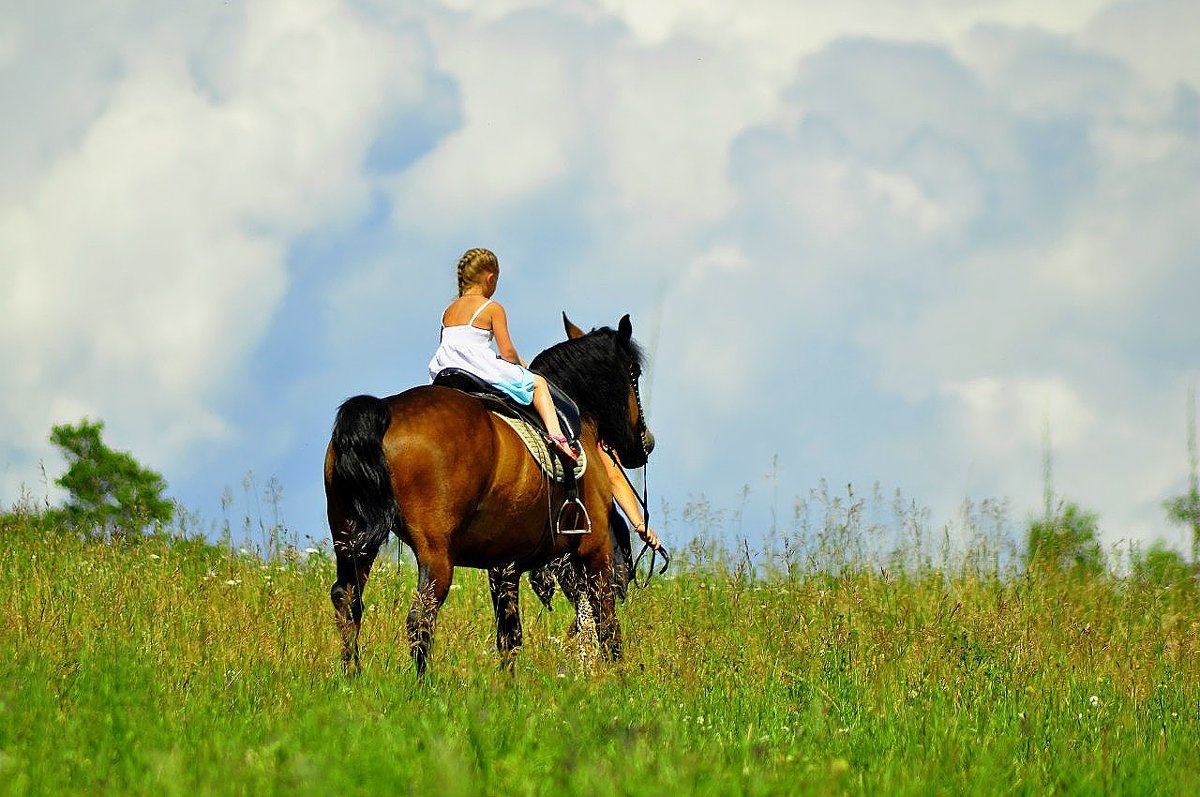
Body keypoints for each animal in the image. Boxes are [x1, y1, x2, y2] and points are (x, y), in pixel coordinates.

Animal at [324, 312, 652, 672]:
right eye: (634, 373)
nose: (644, 444)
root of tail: (383, 412)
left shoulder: (504, 565)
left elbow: (510, 637)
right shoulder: (595, 551)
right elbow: (608, 628)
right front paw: (617, 678)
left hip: (350, 537)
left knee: (348, 601)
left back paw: (352, 676)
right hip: (435, 553)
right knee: (420, 617)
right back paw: (422, 683)